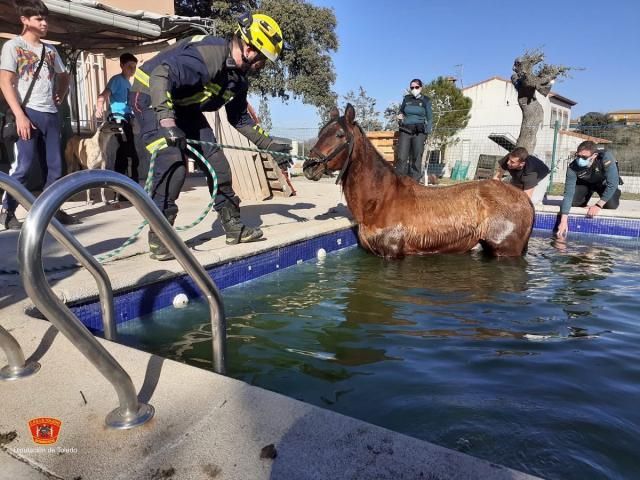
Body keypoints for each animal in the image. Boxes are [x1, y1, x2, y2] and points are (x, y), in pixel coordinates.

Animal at [304, 103, 536, 256]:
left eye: (340, 135)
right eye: (321, 132)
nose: (309, 166)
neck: (380, 200)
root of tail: (524, 198)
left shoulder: (391, 254)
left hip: (505, 251)